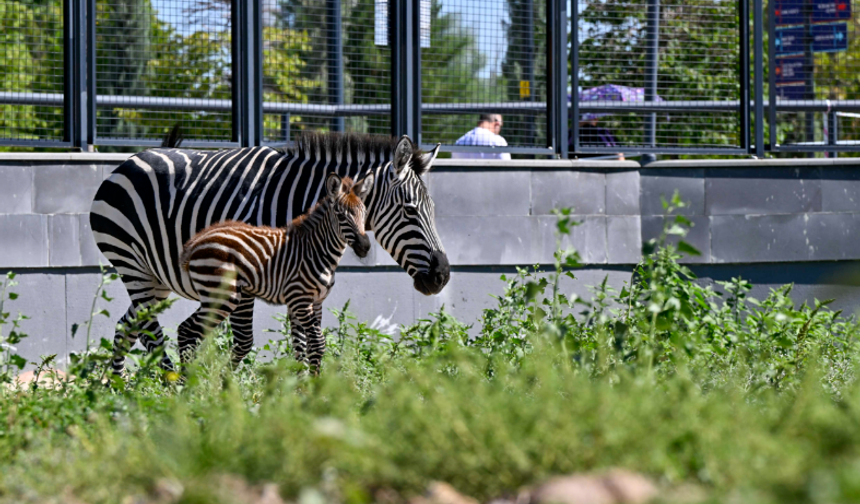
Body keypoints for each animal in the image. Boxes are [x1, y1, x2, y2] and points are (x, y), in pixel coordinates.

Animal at [180, 172, 373, 372]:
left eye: (364, 212)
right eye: (341, 215)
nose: (365, 247)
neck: (316, 250)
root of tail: (197, 240)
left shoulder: (315, 302)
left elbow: (303, 347)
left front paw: (306, 379)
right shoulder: (300, 299)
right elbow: (318, 343)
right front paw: (316, 380)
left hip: (216, 295)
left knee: (185, 329)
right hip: (222, 295)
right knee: (189, 330)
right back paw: (186, 379)